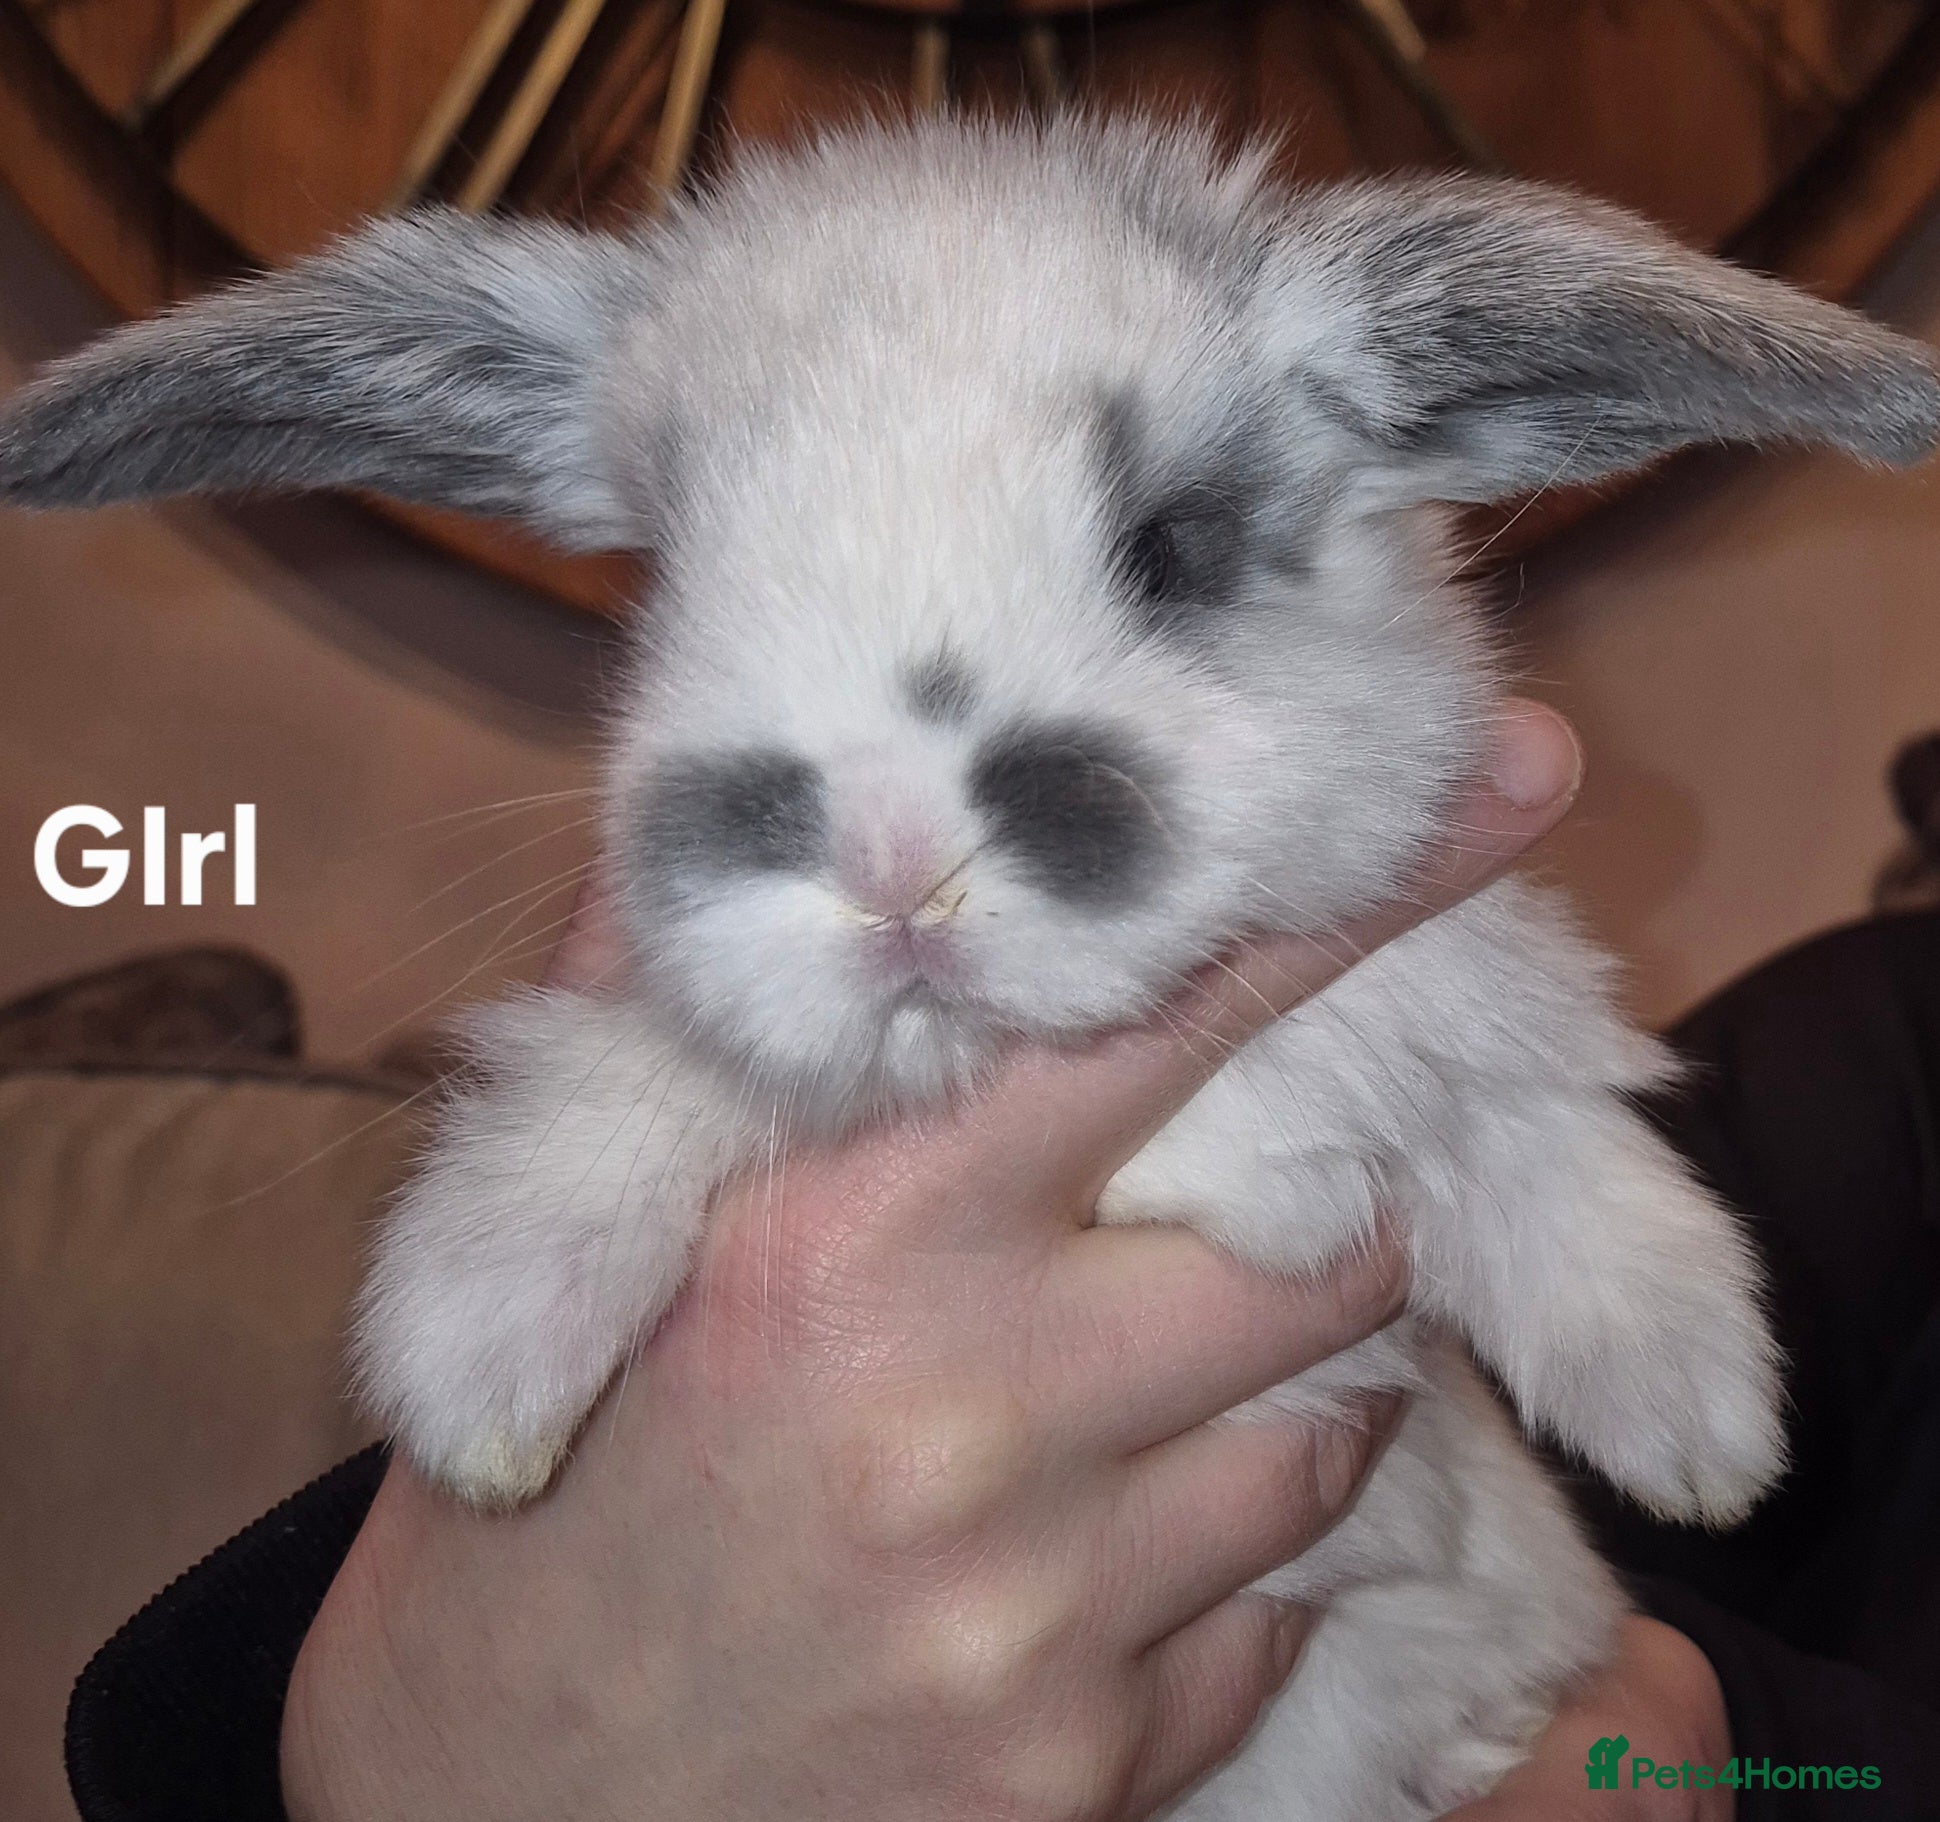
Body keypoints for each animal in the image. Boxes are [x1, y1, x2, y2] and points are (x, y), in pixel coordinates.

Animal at [5, 114, 1938, 1819]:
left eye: (1172, 544)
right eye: (670, 577)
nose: (887, 859)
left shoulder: (1457, 996)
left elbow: (1550, 1140)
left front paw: (1698, 1426)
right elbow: (597, 1110)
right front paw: (477, 1388)